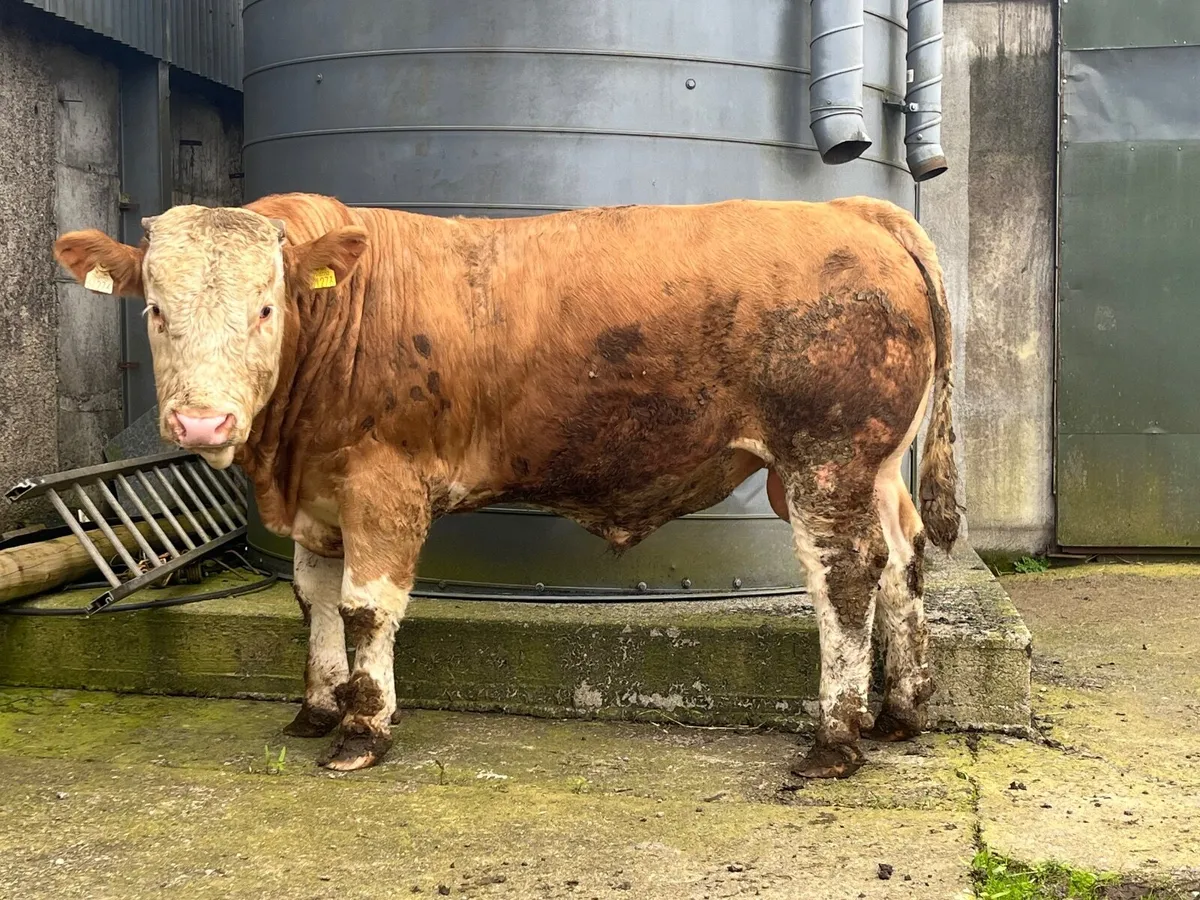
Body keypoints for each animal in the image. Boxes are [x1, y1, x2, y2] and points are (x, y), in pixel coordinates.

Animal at [52, 192, 959, 778]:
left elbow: (364, 607)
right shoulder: (316, 497)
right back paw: (902, 711)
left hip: (825, 455)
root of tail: (852, 208)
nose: (202, 423)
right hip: (873, 464)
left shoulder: (384, 485)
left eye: (267, 308)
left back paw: (835, 740)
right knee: (902, 557)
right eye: (155, 309)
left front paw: (362, 729)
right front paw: (315, 709)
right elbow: (314, 600)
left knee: (845, 575)